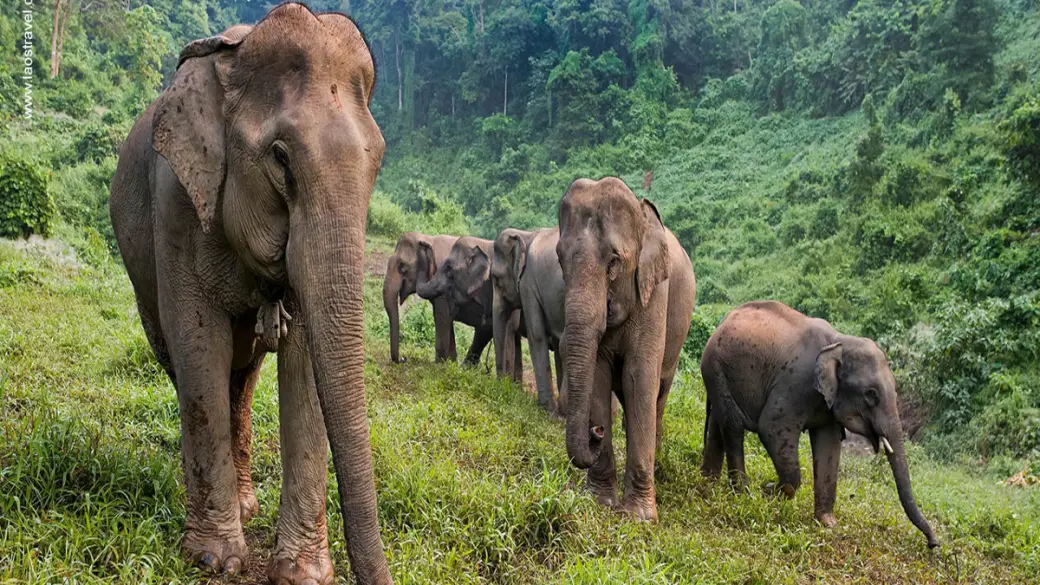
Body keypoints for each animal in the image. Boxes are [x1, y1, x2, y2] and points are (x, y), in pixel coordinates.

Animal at [108, 6, 393, 584]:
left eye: (377, 161)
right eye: (280, 159)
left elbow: (304, 360)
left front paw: (301, 574)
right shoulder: (176, 200)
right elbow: (199, 346)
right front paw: (214, 559)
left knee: (244, 376)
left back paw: (245, 505)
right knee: (189, 366)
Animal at [383, 232, 460, 364]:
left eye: (402, 266)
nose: (403, 358)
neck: (428, 238)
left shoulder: (445, 286)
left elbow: (442, 318)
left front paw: (439, 365)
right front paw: (451, 364)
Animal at [492, 227, 567, 414]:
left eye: (496, 279)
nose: (499, 384)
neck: (526, 235)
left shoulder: (528, 285)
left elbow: (537, 335)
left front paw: (547, 410)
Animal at [557, 177, 697, 521]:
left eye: (614, 262)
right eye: (559, 259)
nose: (595, 430)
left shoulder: (654, 295)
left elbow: (640, 376)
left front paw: (639, 517)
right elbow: (598, 373)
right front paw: (600, 502)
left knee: (657, 397)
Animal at [700, 300, 939, 548]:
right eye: (871, 394)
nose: (933, 543)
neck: (839, 341)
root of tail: (724, 320)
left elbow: (829, 446)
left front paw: (828, 523)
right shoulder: (794, 383)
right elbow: (771, 428)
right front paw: (767, 491)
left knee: (719, 423)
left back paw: (708, 482)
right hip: (717, 366)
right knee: (733, 426)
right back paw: (742, 494)